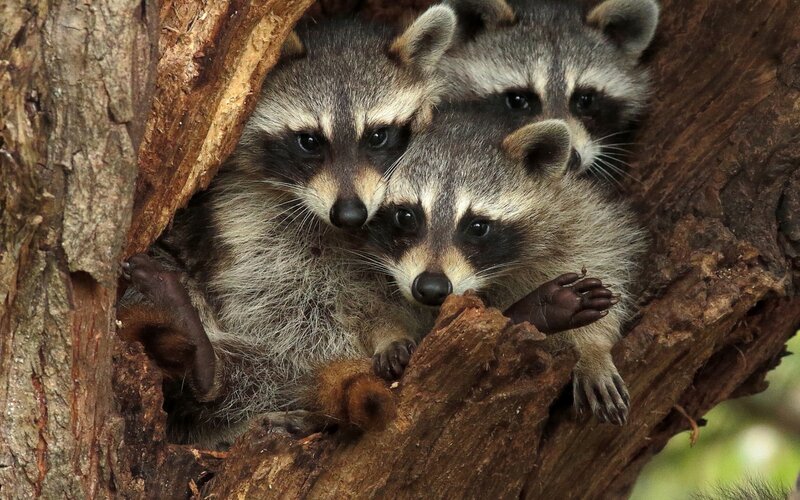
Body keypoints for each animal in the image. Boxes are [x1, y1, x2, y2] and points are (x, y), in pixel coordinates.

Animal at [117, 7, 455, 446]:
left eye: (378, 135)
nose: (351, 214)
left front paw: (389, 333)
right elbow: (282, 310)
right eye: (309, 141)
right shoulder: (244, 216)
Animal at [367, 105, 647, 424]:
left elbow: (602, 253)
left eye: (477, 226)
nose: (431, 287)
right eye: (406, 216)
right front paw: (389, 332)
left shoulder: (572, 210)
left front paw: (592, 349)